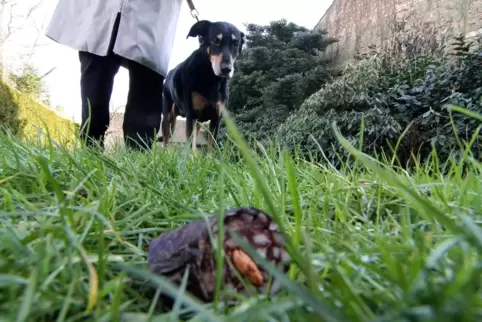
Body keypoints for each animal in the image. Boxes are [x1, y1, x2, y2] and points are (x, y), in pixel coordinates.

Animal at [161, 20, 245, 151]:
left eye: (235, 43)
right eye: (216, 41)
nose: (226, 69)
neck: (211, 78)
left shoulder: (216, 117)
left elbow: (211, 146)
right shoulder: (192, 115)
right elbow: (191, 143)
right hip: (168, 114)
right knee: (165, 138)